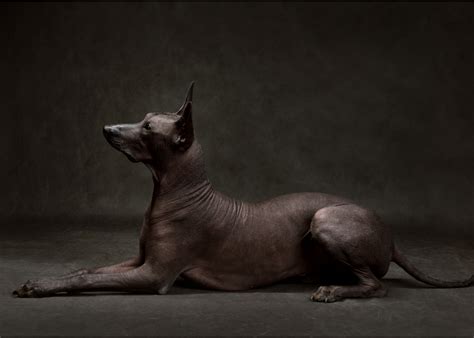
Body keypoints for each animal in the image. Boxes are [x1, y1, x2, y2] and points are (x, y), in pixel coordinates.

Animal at [12, 82, 472, 302]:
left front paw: (40, 287)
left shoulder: (154, 274)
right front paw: (40, 280)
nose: (107, 128)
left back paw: (333, 291)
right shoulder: (138, 261)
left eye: (146, 128)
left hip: (325, 217)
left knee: (377, 285)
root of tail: (391, 238)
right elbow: (85, 271)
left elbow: (90, 279)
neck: (177, 193)